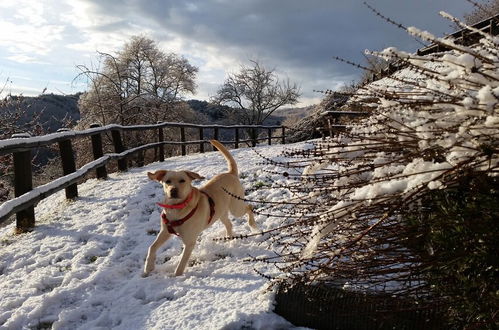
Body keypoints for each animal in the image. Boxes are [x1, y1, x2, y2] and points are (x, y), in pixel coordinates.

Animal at [142, 139, 256, 276]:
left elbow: (181, 264)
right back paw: (229, 238)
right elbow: (152, 247)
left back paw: (252, 225)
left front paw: (176, 276)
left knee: (249, 206)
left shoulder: (190, 241)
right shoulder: (165, 231)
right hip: (220, 212)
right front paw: (148, 267)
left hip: (236, 207)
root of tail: (230, 173)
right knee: (229, 224)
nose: (173, 191)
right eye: (167, 181)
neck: (177, 208)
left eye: (182, 180)